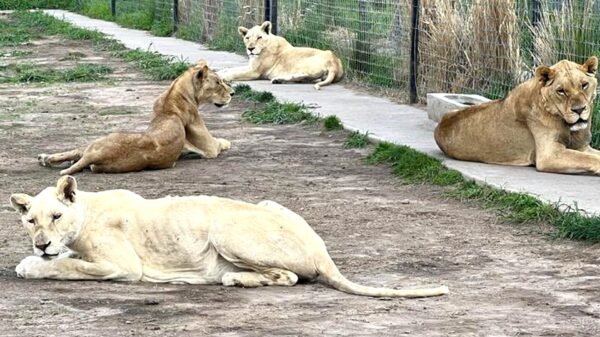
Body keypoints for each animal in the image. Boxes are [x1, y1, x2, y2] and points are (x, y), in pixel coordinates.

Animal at [10, 175, 450, 298]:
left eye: (56, 216)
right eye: (30, 220)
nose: (41, 243)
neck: (85, 210)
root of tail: (323, 251)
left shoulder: (123, 266)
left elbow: (67, 267)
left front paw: (31, 264)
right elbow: (67, 261)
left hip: (223, 228)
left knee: (289, 276)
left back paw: (233, 278)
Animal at [36, 61, 231, 176]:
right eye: (218, 83)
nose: (233, 93)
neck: (174, 94)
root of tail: (95, 155)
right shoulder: (209, 147)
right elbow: (220, 142)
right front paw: (227, 143)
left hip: (95, 148)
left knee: (76, 154)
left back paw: (46, 158)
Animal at [436, 56, 600, 175]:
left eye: (584, 85)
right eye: (561, 91)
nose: (579, 109)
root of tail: (439, 125)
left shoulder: (582, 147)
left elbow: (592, 155)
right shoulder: (549, 155)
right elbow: (589, 159)